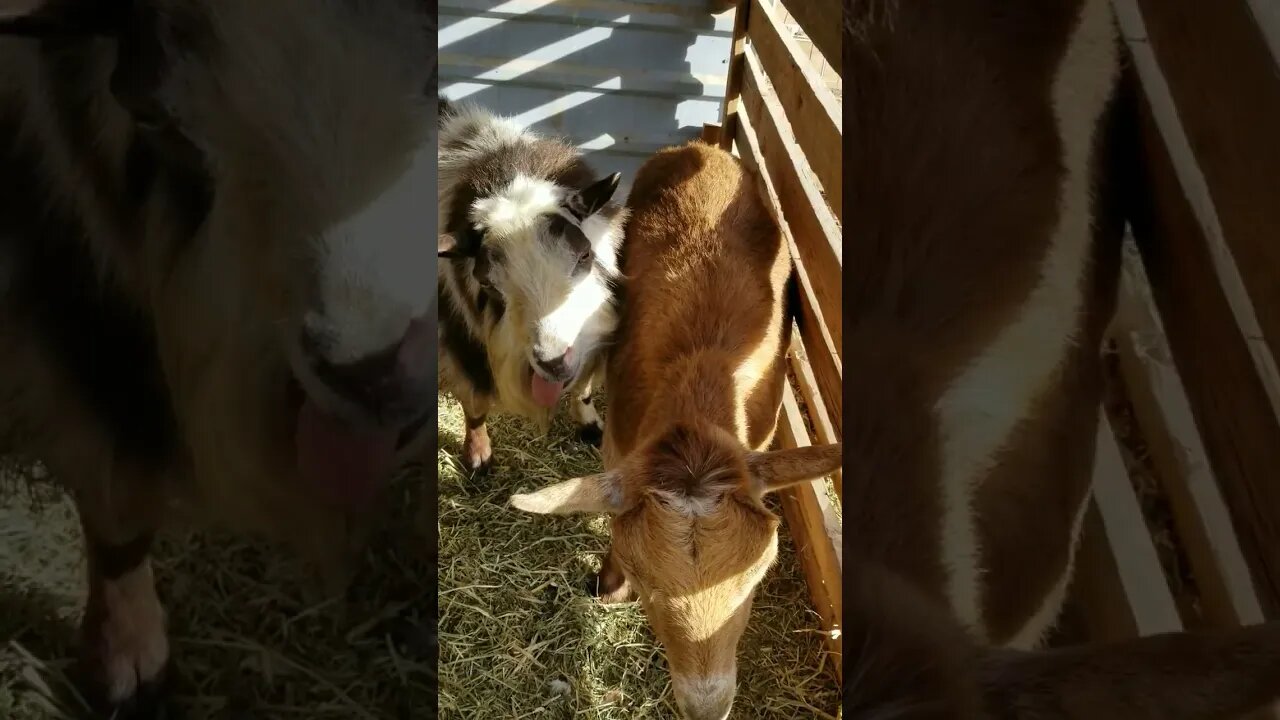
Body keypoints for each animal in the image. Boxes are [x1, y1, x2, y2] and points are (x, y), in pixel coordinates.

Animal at [436, 99, 627, 473]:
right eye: (486, 282)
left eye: (585, 254)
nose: (553, 362)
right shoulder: (460, 344)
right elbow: (474, 404)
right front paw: (479, 457)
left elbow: (583, 384)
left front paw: (590, 426)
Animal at [510, 140, 843, 720]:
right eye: (646, 585)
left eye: (759, 576)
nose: (706, 707)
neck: (699, 393)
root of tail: (702, 146)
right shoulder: (620, 452)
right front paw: (607, 584)